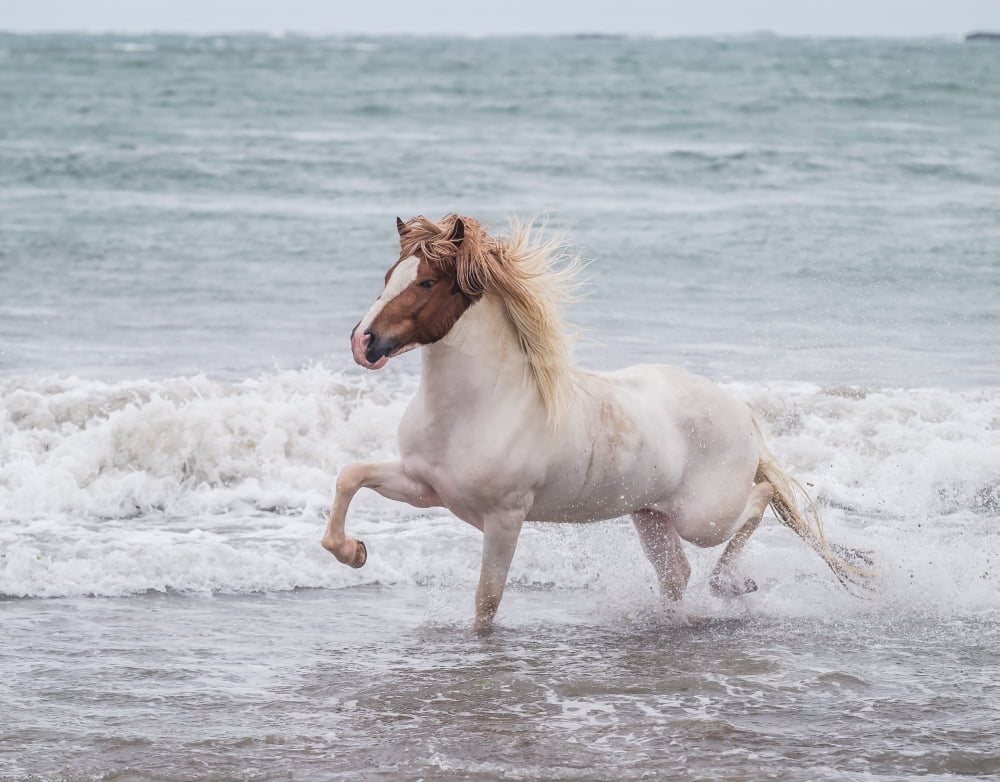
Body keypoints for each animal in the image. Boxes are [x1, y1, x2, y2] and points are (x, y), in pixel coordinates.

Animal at [322, 214, 872, 632]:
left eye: (426, 282)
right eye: (388, 275)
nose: (363, 343)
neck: (479, 407)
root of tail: (740, 410)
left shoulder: (504, 518)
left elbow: (487, 602)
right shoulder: (425, 488)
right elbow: (350, 475)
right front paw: (353, 553)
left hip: (702, 518)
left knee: (757, 501)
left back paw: (734, 584)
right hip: (650, 515)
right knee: (677, 574)